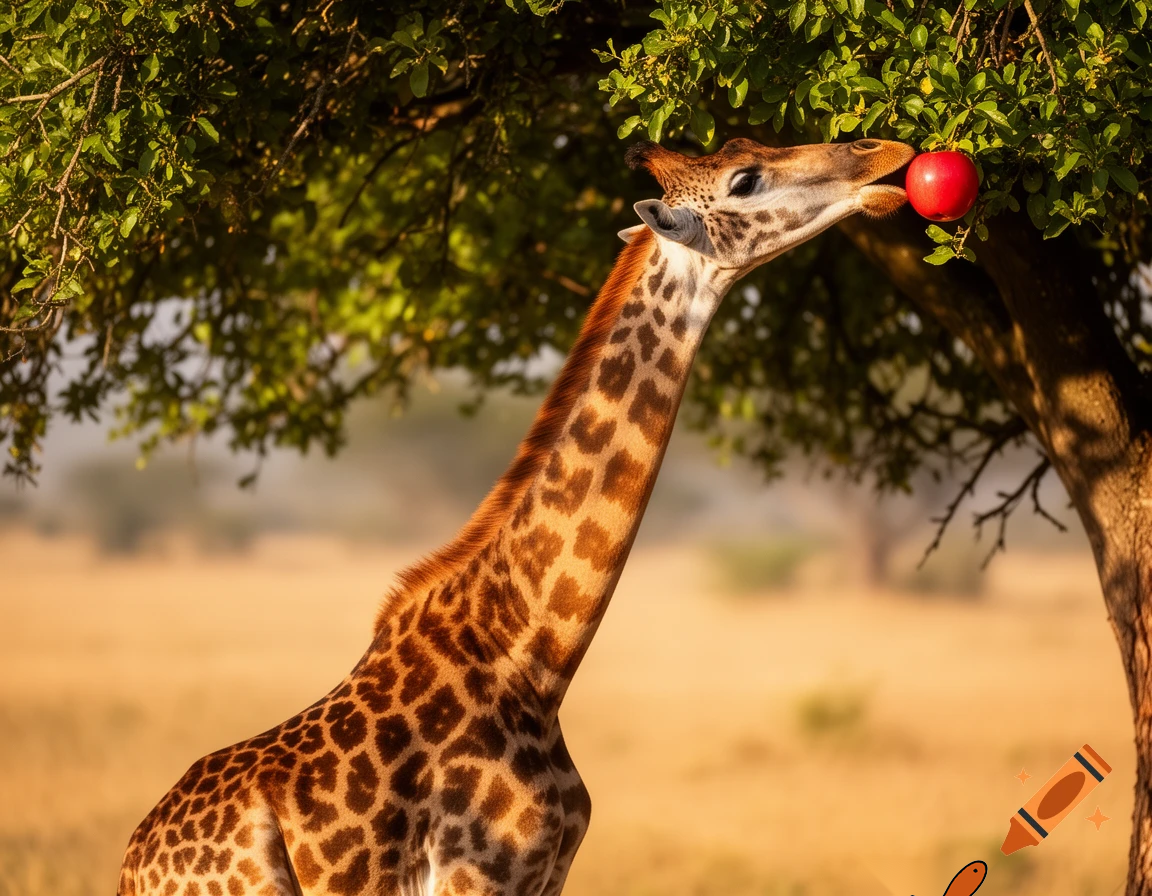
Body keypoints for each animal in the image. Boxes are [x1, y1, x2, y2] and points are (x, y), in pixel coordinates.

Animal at [117, 136, 914, 896]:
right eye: (745, 180)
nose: (885, 155)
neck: (528, 660)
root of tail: (132, 868)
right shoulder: (479, 874)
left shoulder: (549, 874)